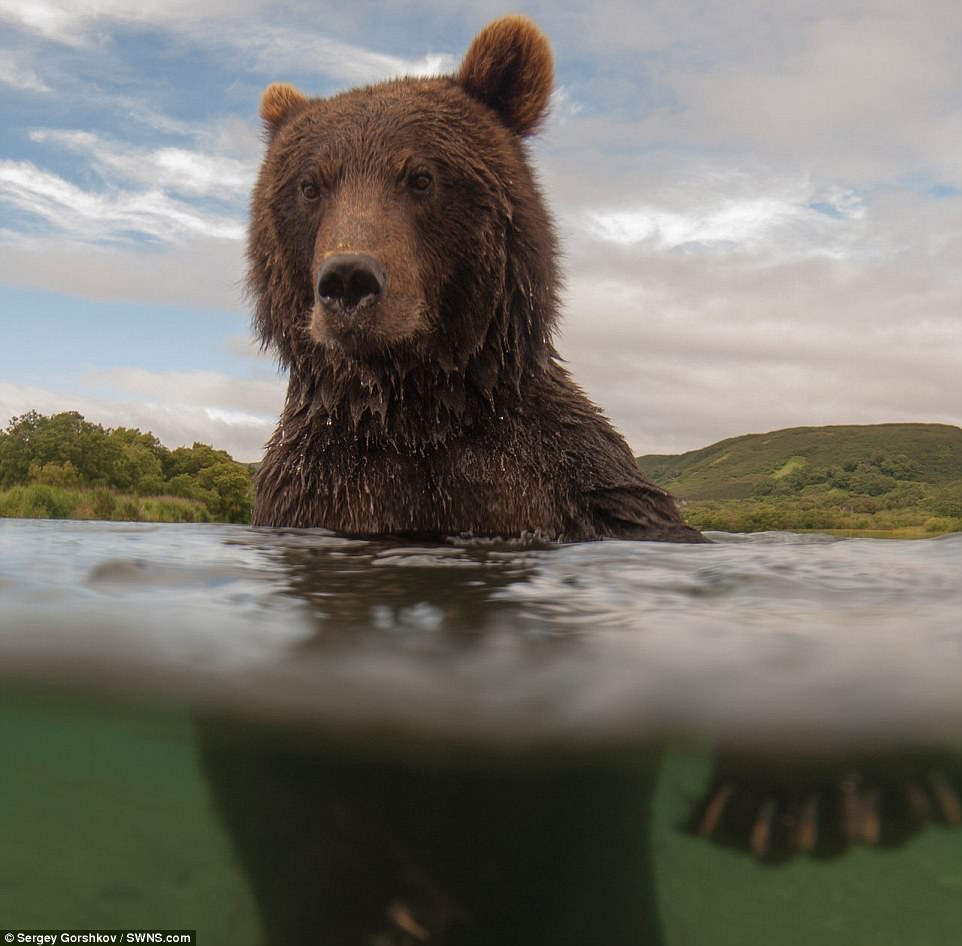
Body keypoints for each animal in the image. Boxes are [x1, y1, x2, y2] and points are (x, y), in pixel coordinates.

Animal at [246, 16, 696, 544]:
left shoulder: (573, 481)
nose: (348, 280)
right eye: (311, 186)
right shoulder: (315, 486)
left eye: (420, 176)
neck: (416, 416)